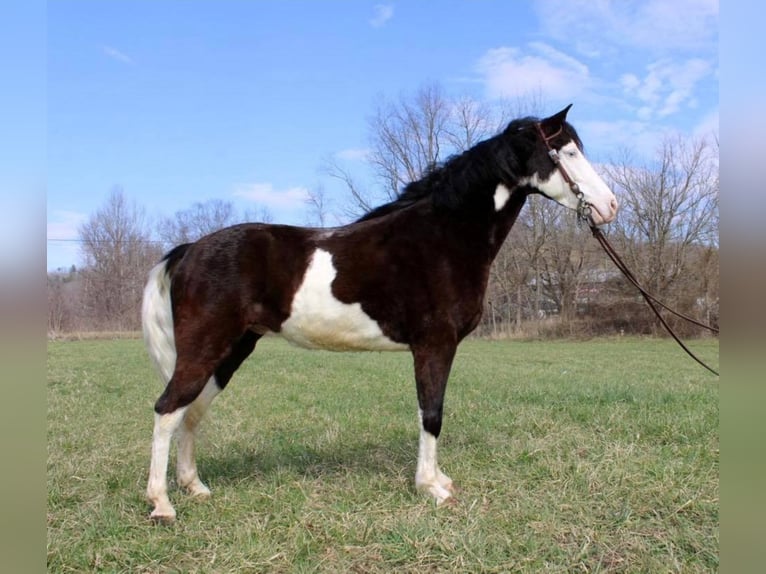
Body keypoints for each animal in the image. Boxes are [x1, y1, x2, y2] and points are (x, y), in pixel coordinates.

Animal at [142, 106, 616, 524]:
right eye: (567, 153)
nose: (610, 206)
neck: (445, 235)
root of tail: (191, 249)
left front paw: (439, 480)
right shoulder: (434, 345)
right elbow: (432, 414)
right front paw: (432, 488)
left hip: (231, 351)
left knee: (191, 411)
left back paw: (194, 487)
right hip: (206, 347)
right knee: (167, 409)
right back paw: (162, 504)